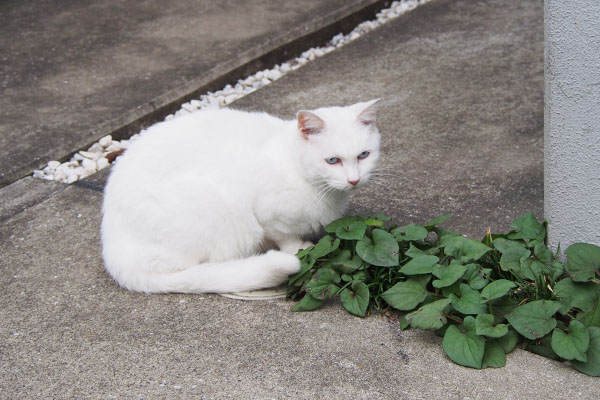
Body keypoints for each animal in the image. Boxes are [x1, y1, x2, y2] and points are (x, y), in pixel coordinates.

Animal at [100, 100, 378, 294]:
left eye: (364, 155)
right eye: (332, 160)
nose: (354, 180)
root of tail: (113, 250)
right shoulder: (267, 214)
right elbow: (284, 237)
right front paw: (299, 248)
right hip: (215, 208)